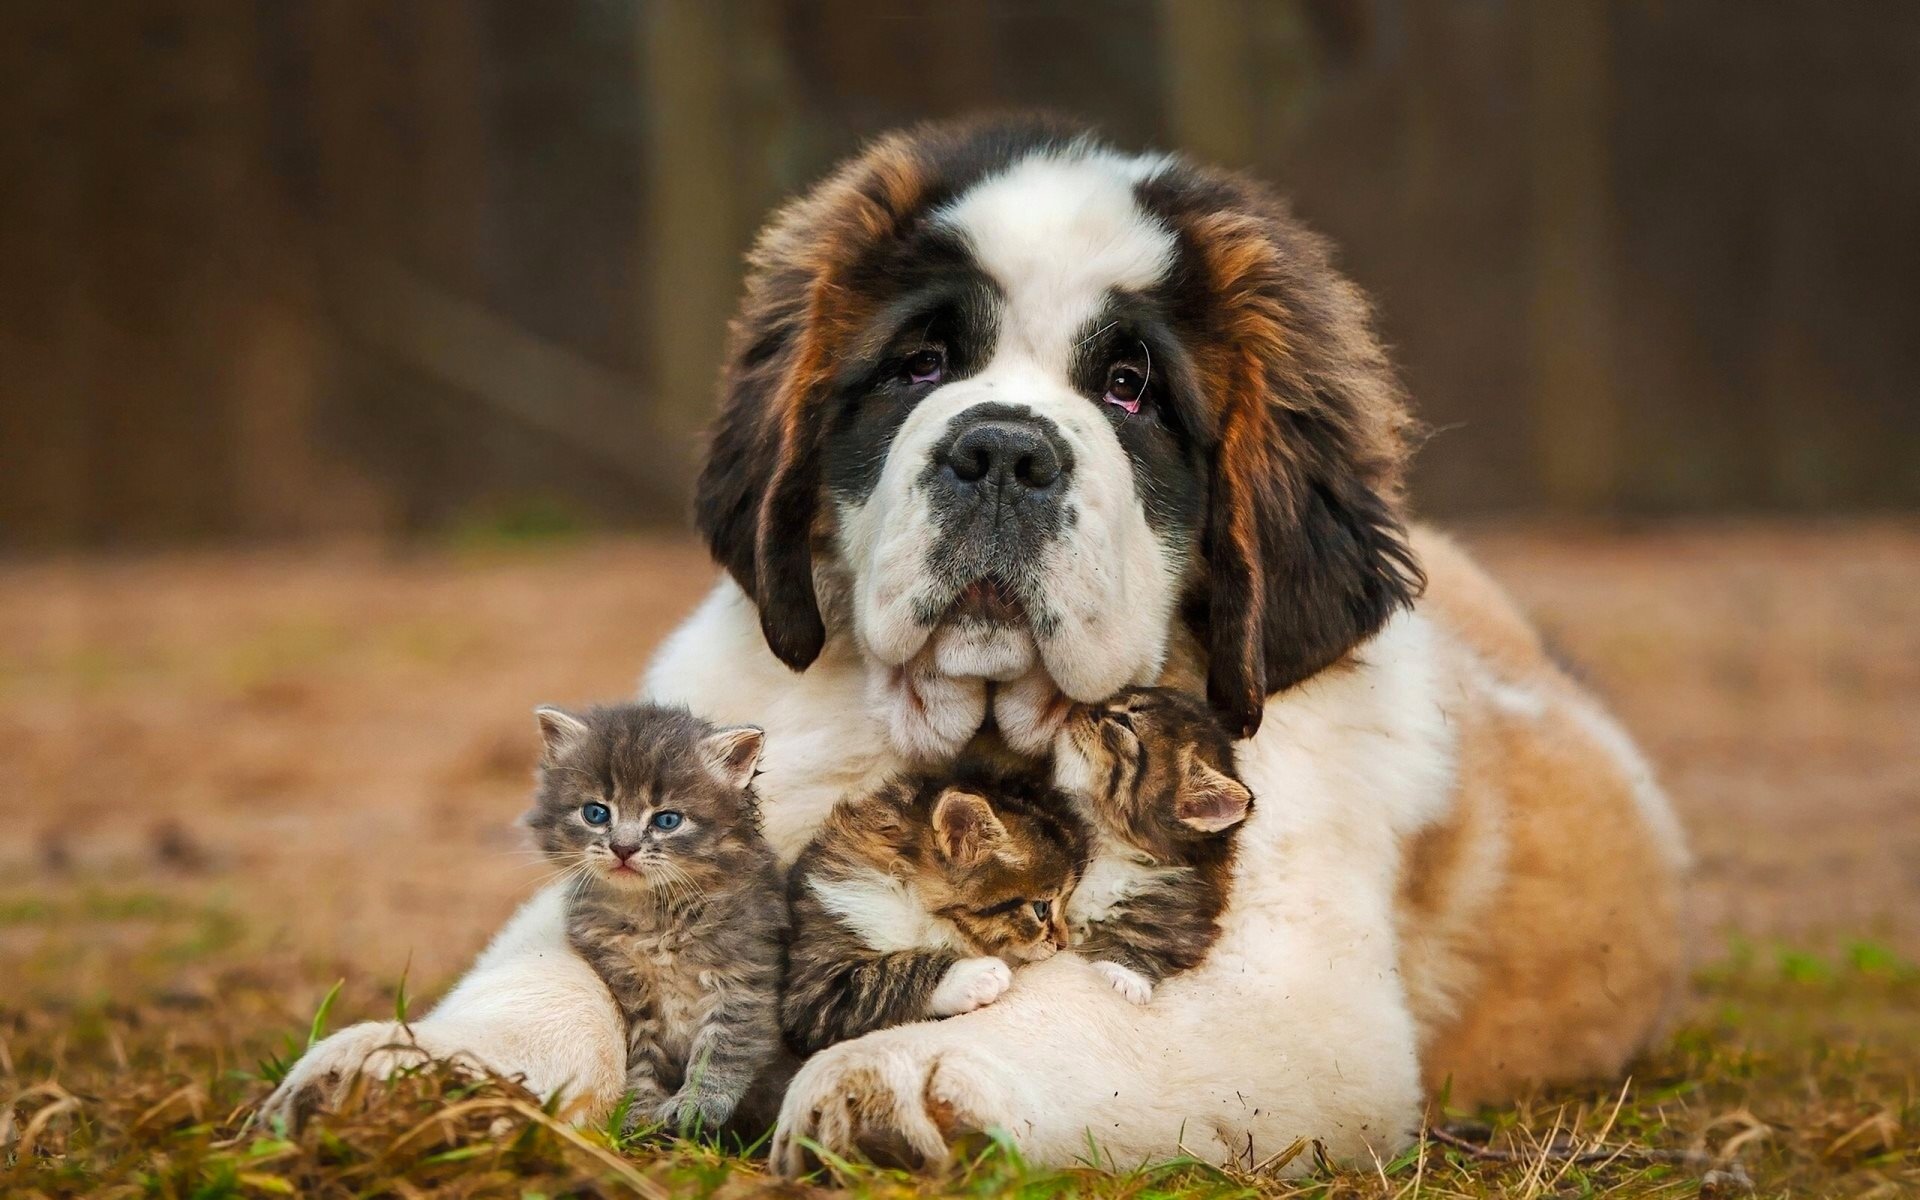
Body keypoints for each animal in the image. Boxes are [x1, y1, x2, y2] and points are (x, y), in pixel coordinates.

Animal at [522, 702, 783, 1128]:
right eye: (596, 813)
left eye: (667, 820)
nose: (623, 848)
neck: (652, 917)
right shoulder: (632, 996)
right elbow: (643, 1059)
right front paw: (638, 1114)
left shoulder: (744, 980)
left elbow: (722, 1048)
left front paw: (697, 1104)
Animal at [775, 764, 1082, 1052]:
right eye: (1041, 909)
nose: (1063, 944)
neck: (911, 901)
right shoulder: (816, 989)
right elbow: (890, 973)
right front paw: (974, 976)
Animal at [1052, 683, 1259, 998]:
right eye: (1118, 696)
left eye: (1124, 722)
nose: (1079, 706)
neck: (1110, 845)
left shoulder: (1182, 918)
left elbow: (1148, 944)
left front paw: (1124, 975)